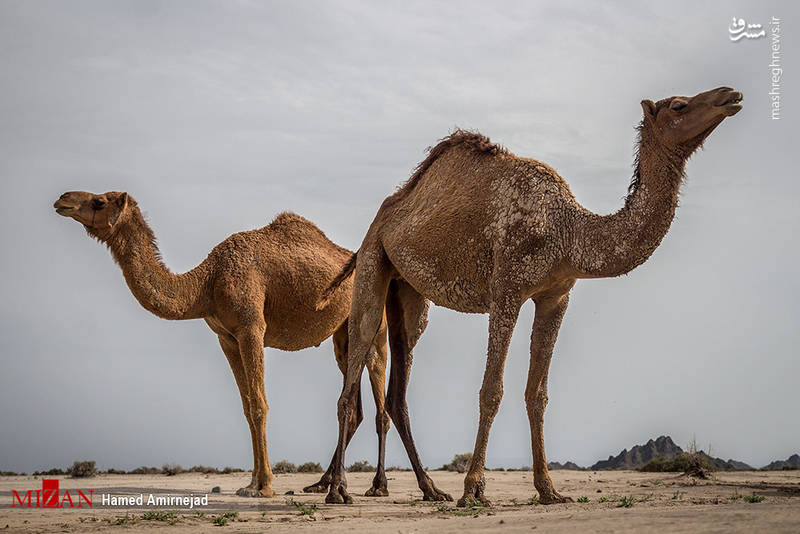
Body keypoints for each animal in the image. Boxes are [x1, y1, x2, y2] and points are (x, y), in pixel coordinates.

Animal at [51, 194, 392, 502]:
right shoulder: (226, 337)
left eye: (99, 201)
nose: (62, 200)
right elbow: (246, 407)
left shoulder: (251, 328)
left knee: (379, 396)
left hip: (376, 323)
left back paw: (377, 486)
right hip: (342, 334)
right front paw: (251, 483)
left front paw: (264, 487)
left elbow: (259, 404)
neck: (207, 283)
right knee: (354, 403)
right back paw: (322, 484)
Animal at [318, 88, 744, 506]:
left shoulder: (556, 296)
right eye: (679, 105)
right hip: (373, 258)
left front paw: (549, 489)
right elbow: (492, 390)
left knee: (399, 382)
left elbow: (537, 393)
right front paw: (473, 490)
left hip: (407, 290)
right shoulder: (507, 288)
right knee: (356, 358)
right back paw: (338, 489)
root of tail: (388, 209)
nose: (730, 95)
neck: (567, 232)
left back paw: (429, 488)